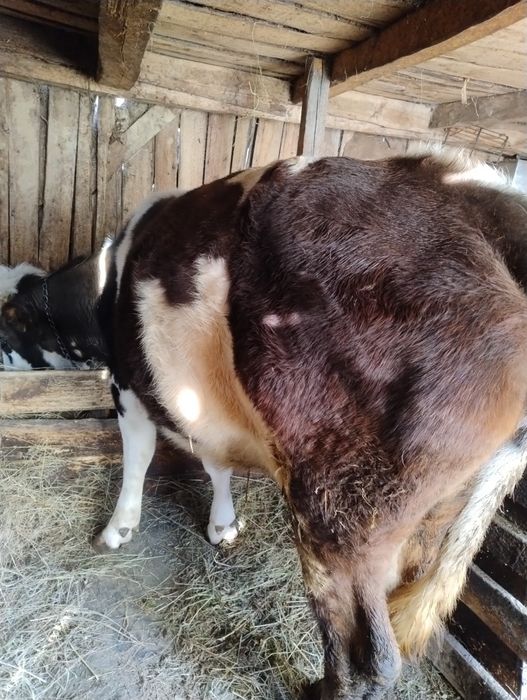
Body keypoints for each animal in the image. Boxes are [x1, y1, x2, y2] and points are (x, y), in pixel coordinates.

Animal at [3, 151, 527, 698]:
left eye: (5, 325)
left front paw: (116, 529)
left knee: (368, 651)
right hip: (432, 515)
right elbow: (216, 465)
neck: (107, 282)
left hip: (340, 510)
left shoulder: (127, 384)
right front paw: (223, 525)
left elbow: (138, 458)